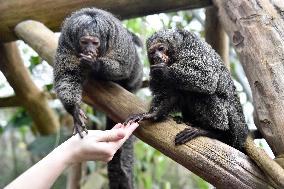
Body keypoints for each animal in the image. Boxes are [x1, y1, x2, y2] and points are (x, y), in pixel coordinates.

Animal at [53, 7, 143, 189]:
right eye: (84, 42)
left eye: (94, 43)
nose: (89, 50)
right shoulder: (66, 43)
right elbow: (67, 75)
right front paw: (74, 110)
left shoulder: (119, 43)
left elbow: (124, 67)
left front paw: (94, 64)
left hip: (138, 75)